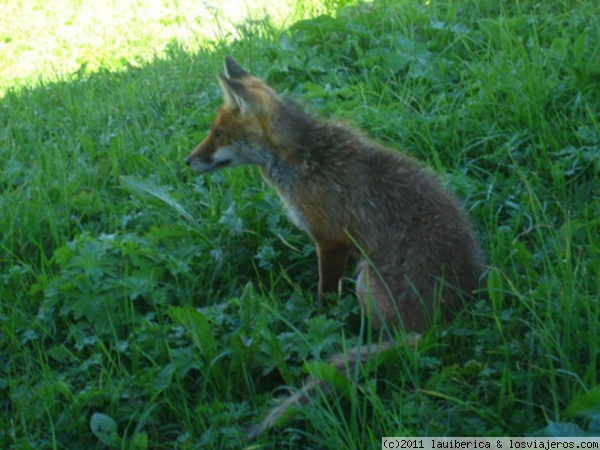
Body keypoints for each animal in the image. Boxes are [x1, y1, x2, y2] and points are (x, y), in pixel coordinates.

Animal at [185, 55, 486, 436]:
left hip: (366, 281)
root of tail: (450, 320)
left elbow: (324, 297)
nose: (187, 161)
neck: (301, 159)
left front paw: (319, 324)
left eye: (218, 135)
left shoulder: (329, 242)